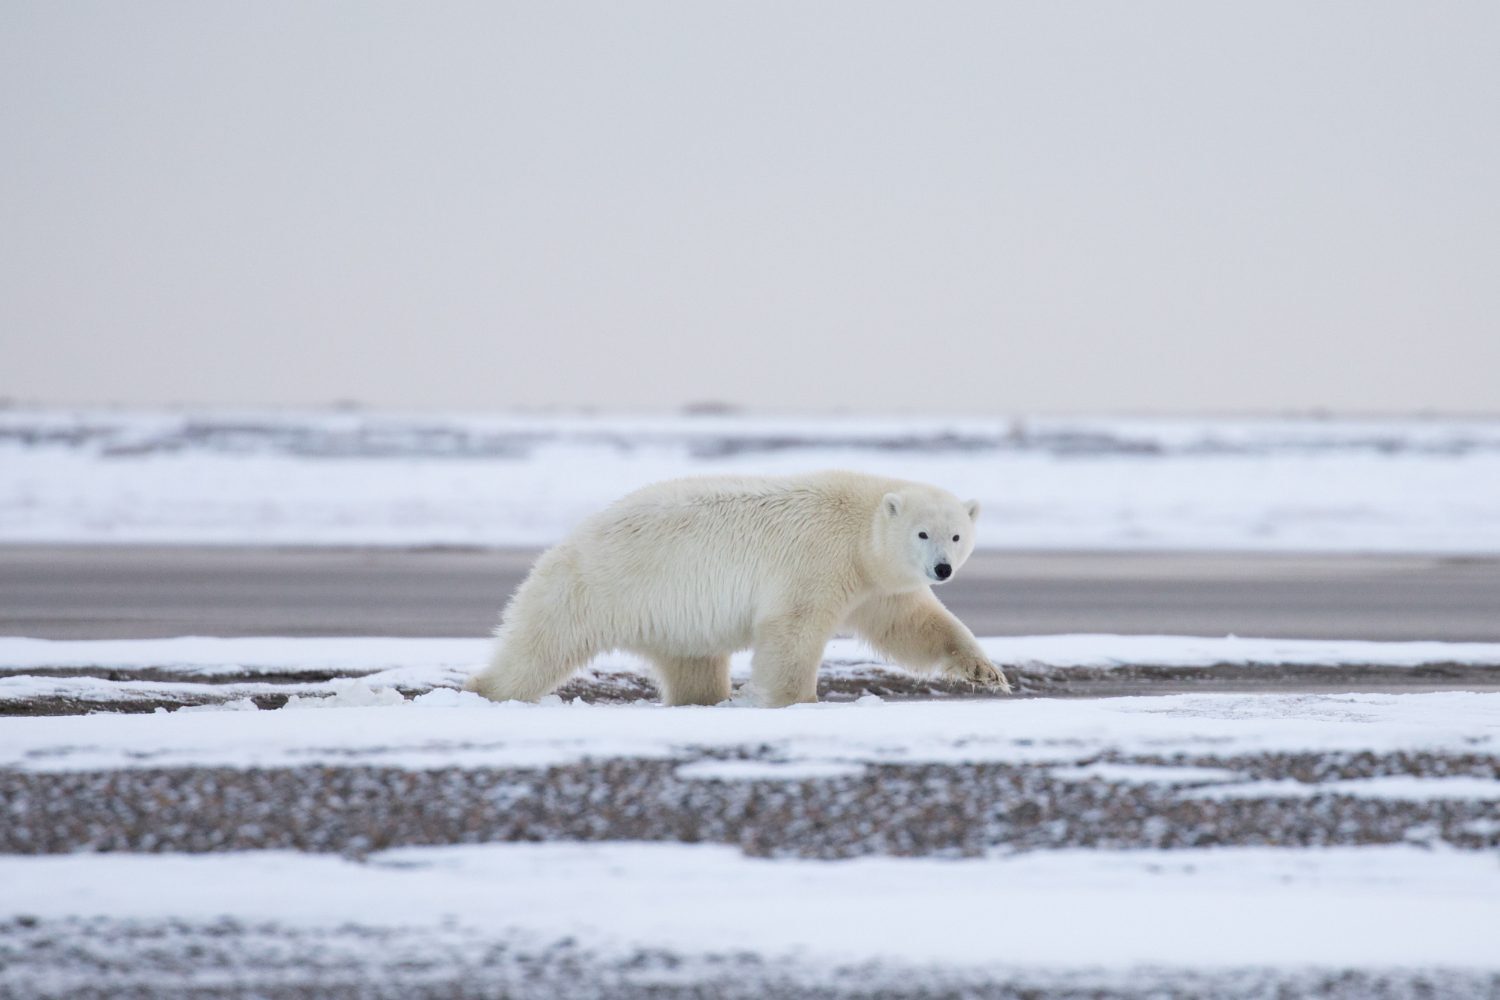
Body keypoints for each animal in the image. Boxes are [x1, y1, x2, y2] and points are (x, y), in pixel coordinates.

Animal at [463, 471, 1011, 707]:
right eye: (921, 533)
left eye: (956, 535)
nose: (942, 568)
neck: (860, 522)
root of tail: (566, 542)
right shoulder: (818, 557)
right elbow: (792, 628)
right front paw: (791, 699)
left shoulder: (877, 582)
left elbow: (914, 624)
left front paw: (986, 673)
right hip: (591, 588)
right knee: (537, 650)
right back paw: (484, 691)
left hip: (673, 623)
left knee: (695, 669)